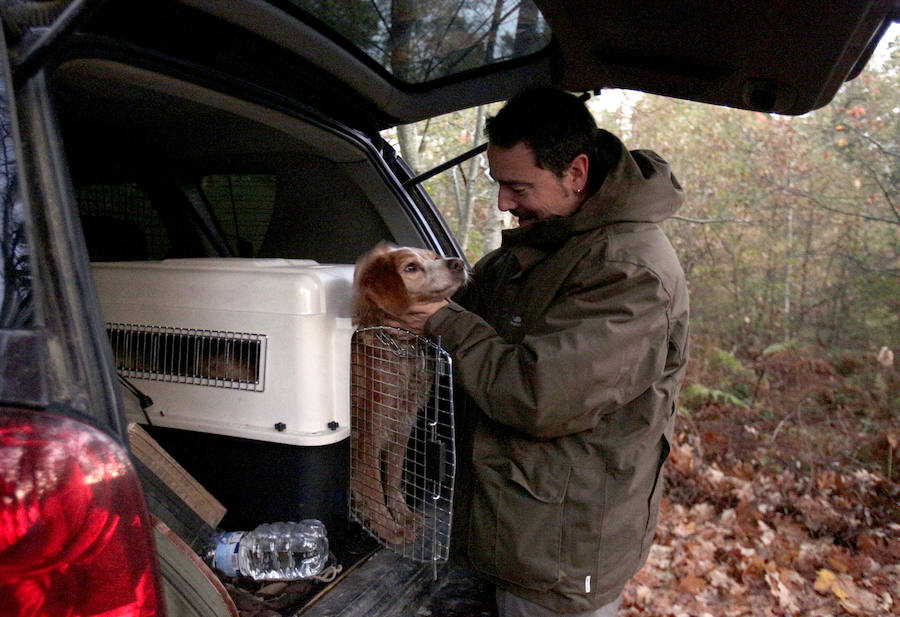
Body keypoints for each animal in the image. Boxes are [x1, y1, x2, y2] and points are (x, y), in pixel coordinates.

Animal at [350, 243, 468, 540]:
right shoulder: (370, 428)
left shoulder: (404, 422)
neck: (400, 348)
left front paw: (402, 514)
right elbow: (373, 485)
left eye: (435, 258)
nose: (458, 263)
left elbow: (392, 477)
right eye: (411, 267)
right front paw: (388, 528)